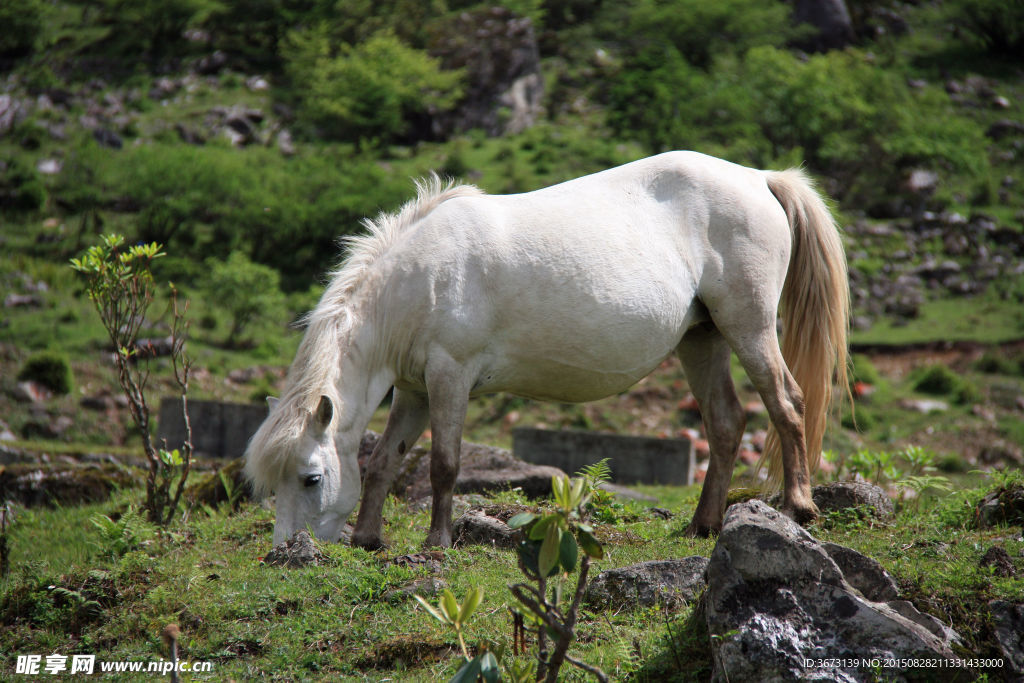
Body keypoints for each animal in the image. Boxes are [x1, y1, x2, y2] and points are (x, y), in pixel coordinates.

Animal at [245, 152, 847, 548]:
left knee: (787, 404)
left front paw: (436, 544)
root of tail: (759, 178)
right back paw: (704, 524)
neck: (416, 281)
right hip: (703, 340)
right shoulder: (414, 391)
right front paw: (368, 540)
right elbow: (383, 462)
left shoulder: (449, 378)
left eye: (311, 478)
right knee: (725, 422)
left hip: (749, 328)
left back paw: (798, 506)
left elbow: (443, 464)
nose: (284, 553)